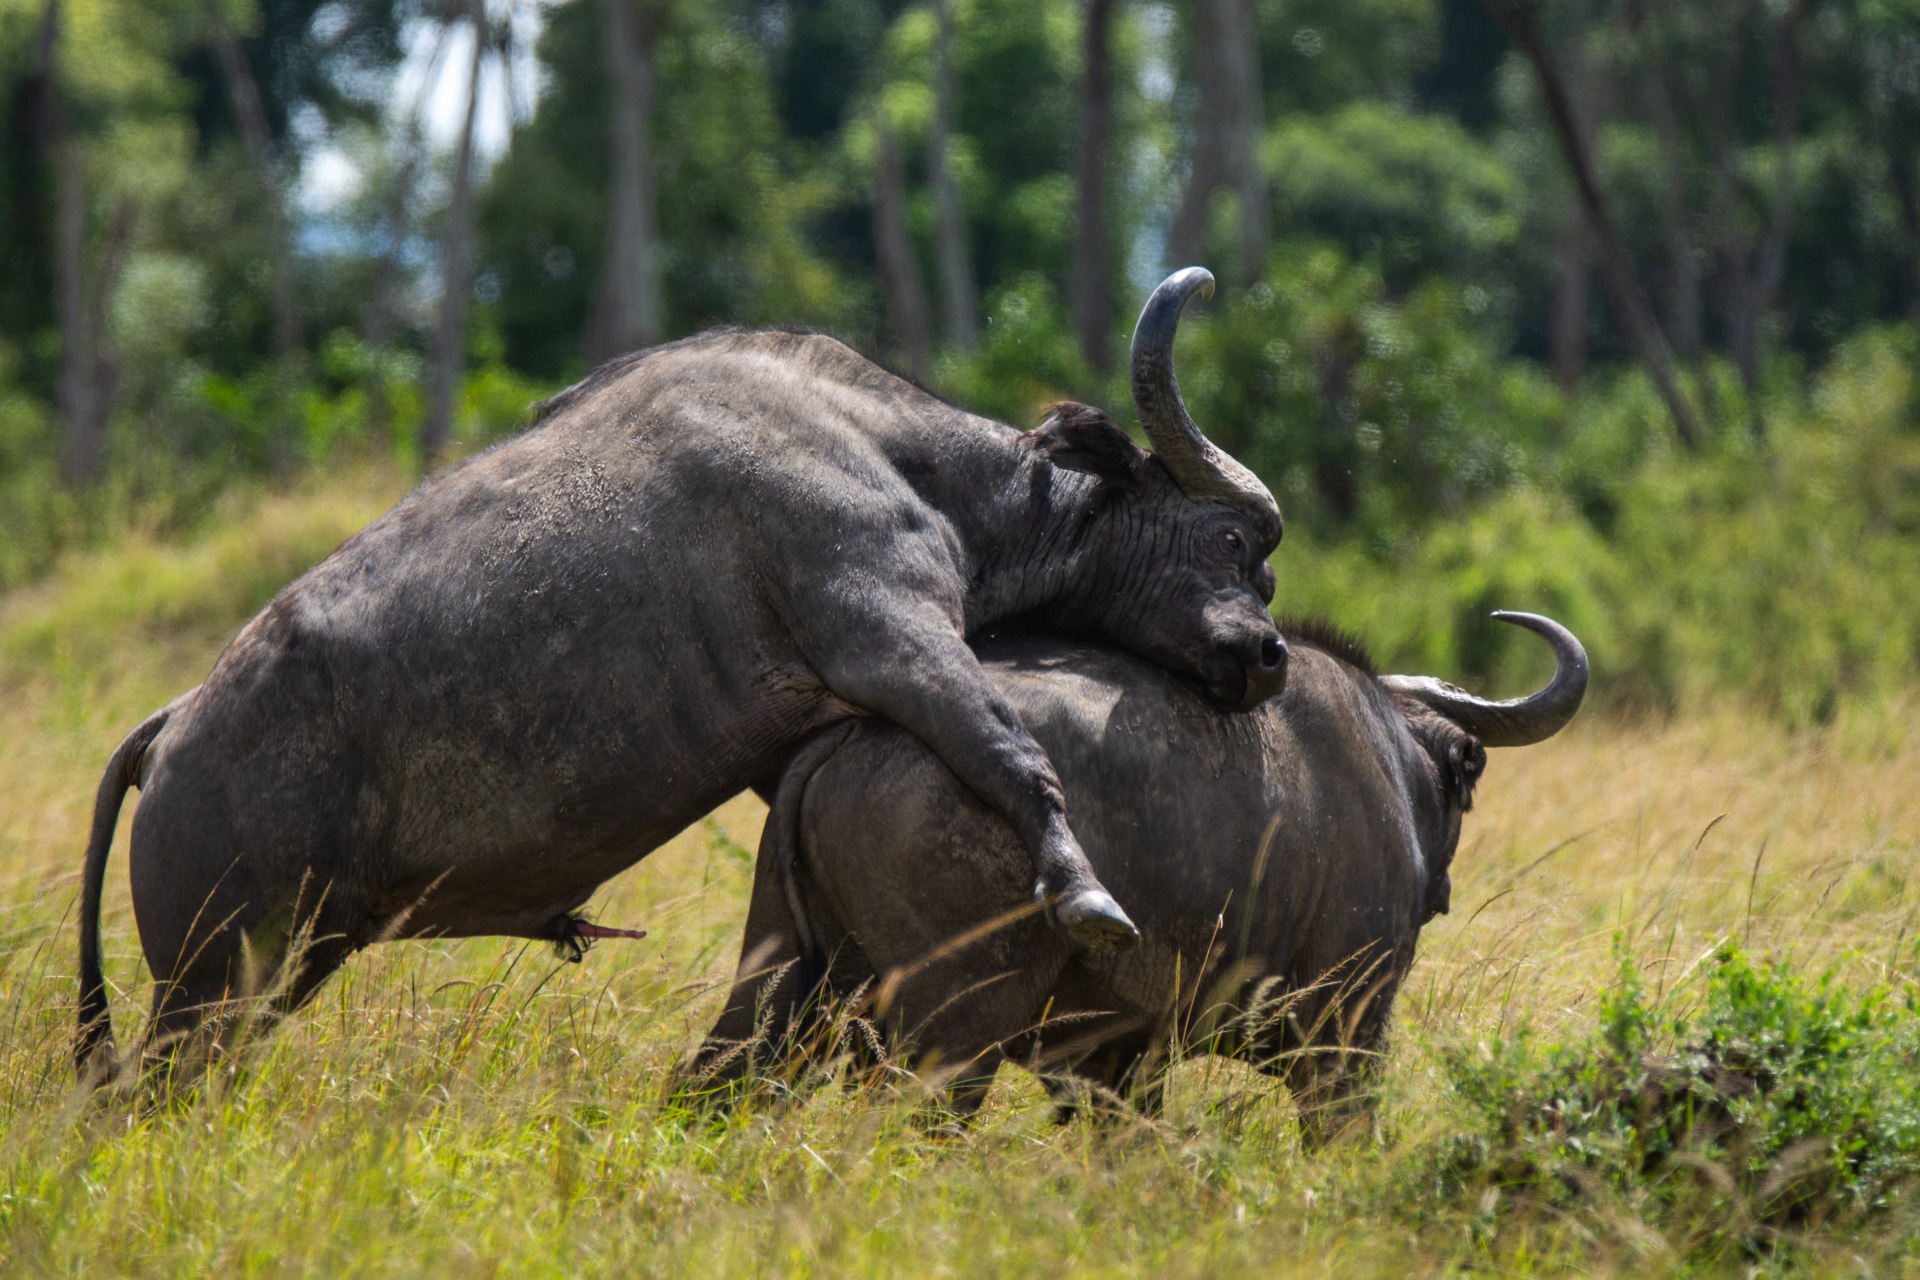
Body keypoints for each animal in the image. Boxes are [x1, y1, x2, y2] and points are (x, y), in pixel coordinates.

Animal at [71, 270, 1290, 1082]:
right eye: (1235, 544)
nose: (1272, 656)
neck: (889, 453)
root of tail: (173, 725)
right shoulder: (895, 637)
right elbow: (1015, 754)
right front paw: (1086, 892)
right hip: (216, 980)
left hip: (277, 969)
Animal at [698, 610, 1582, 1128]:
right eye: (1468, 773)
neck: (1383, 763)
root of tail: (856, 731)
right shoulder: (1345, 1031)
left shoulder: (1113, 1063)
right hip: (951, 1034)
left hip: (776, 995)